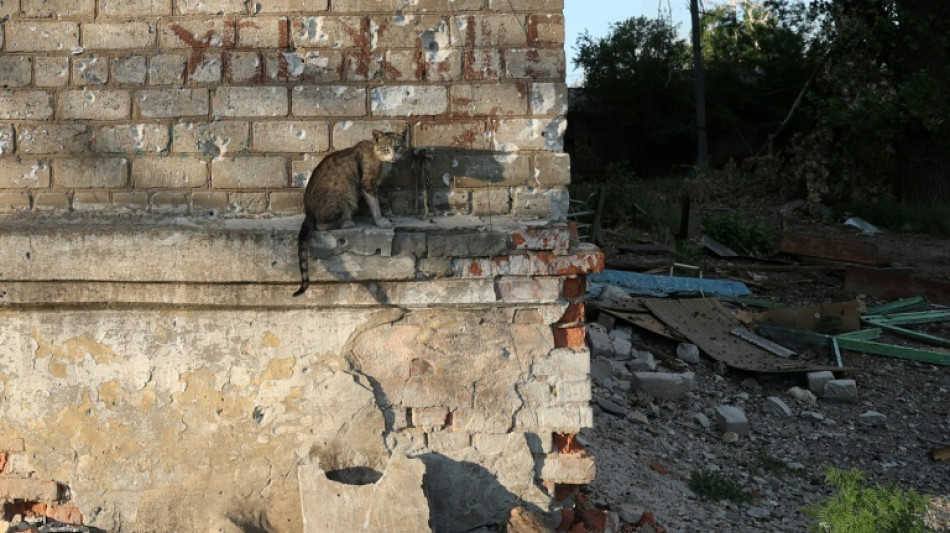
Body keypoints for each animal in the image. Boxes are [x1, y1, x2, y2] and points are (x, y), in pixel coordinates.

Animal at [292, 128, 408, 296]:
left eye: (398, 147)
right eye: (386, 148)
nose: (393, 156)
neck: (380, 159)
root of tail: (308, 211)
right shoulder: (367, 184)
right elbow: (375, 206)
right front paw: (381, 222)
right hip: (343, 197)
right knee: (320, 225)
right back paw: (347, 222)